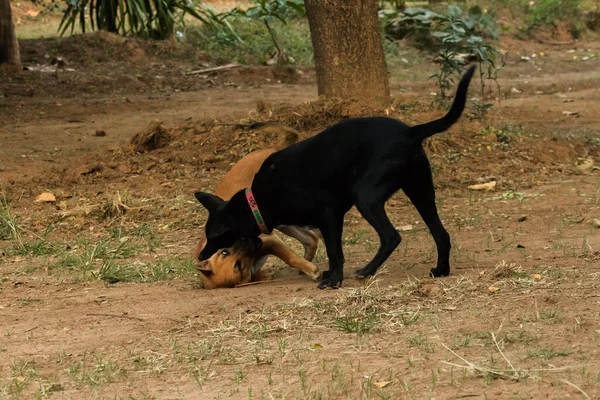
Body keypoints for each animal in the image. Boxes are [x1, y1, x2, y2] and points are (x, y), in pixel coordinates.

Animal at [195, 148, 322, 290]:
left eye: (224, 252)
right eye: (238, 265)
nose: (246, 242)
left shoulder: (271, 241)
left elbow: (290, 257)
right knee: (311, 240)